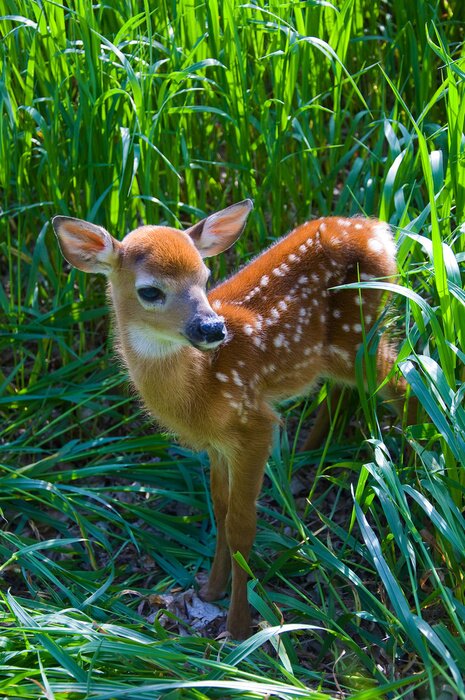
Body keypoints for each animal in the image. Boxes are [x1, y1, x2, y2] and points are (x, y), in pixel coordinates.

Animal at [52, 200, 411, 639]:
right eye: (150, 290)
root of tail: (376, 229)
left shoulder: (254, 424)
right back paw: (310, 458)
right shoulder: (218, 444)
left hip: (358, 331)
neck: (203, 387)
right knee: (349, 390)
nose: (212, 328)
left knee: (404, 383)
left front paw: (239, 626)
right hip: (341, 349)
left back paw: (412, 463)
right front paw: (210, 591)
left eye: (205, 278)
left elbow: (241, 525)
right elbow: (220, 512)